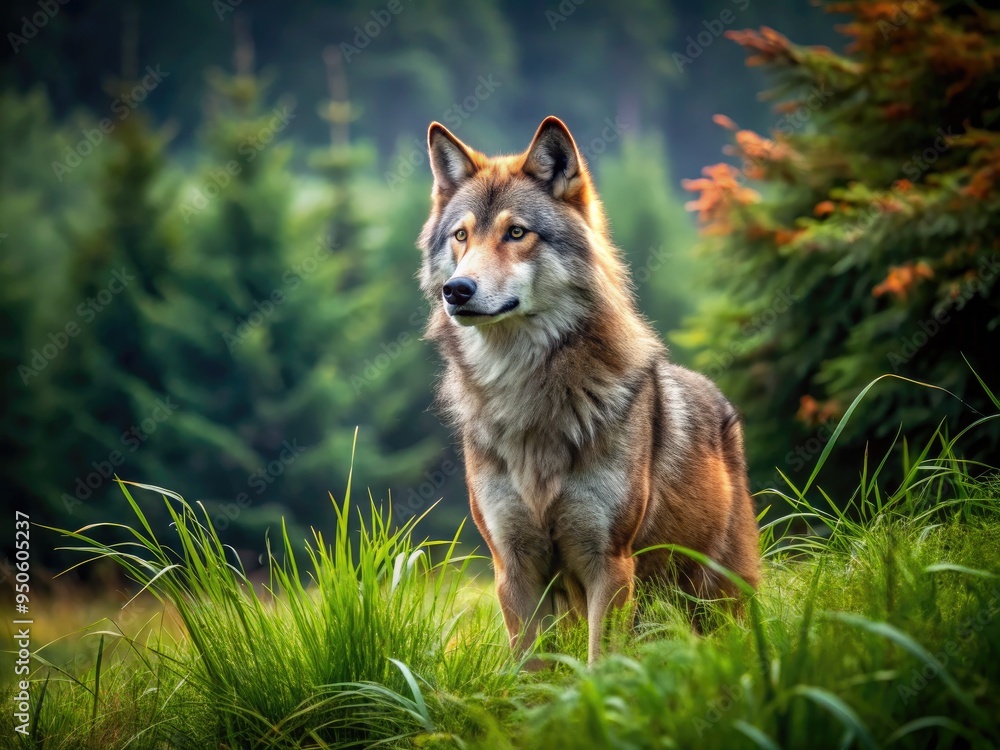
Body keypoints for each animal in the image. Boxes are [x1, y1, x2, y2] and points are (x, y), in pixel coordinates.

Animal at [417, 116, 760, 665]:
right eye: (461, 236)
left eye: (517, 232)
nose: (458, 290)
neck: (526, 391)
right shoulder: (513, 569)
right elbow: (531, 672)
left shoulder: (610, 562)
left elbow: (602, 665)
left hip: (716, 603)